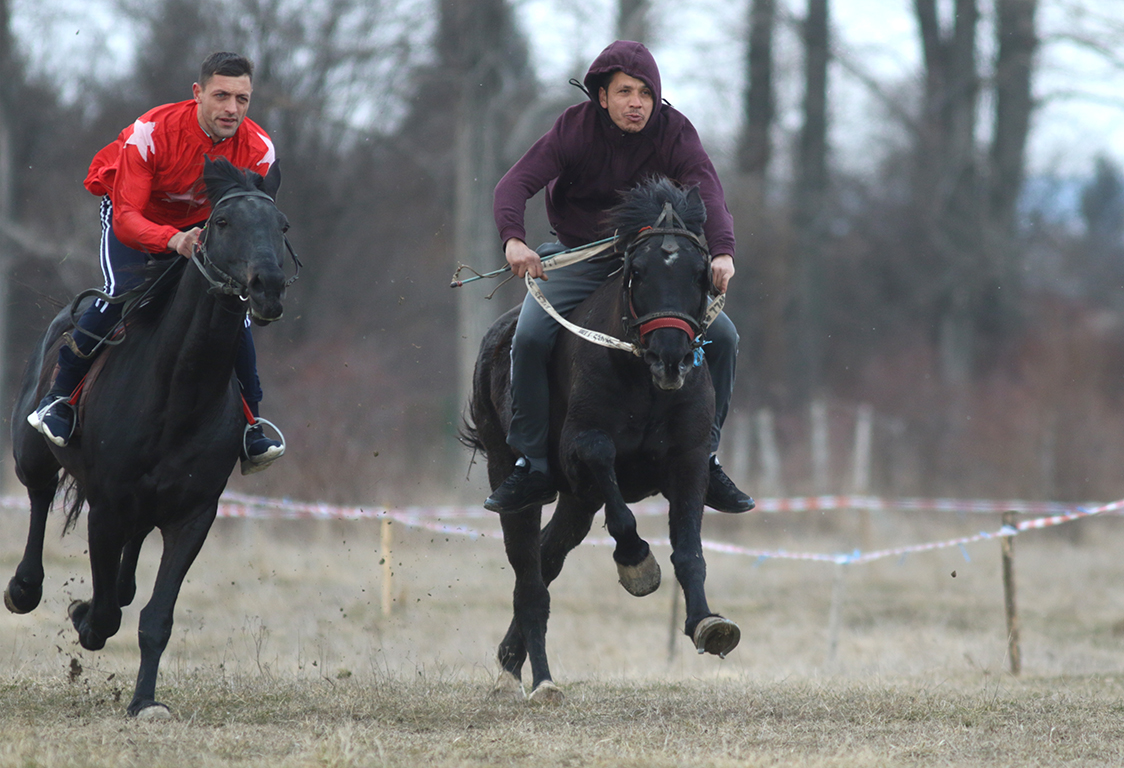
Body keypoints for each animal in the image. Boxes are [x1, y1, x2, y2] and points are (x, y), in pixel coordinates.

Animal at [5, 156, 294, 719]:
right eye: (222, 222)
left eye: (282, 226)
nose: (268, 285)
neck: (178, 391)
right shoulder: (107, 507)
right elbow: (106, 613)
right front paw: (85, 619)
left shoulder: (194, 514)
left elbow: (154, 617)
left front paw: (144, 702)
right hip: (32, 453)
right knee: (40, 495)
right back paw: (24, 586)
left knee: (129, 568)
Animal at [460, 178, 741, 701]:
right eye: (637, 272)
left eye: (701, 274)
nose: (671, 357)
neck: (641, 376)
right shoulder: (582, 450)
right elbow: (611, 483)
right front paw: (636, 563)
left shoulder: (689, 460)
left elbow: (689, 550)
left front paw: (707, 624)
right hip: (514, 478)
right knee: (530, 579)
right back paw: (540, 680)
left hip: (577, 502)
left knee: (547, 560)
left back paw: (511, 661)